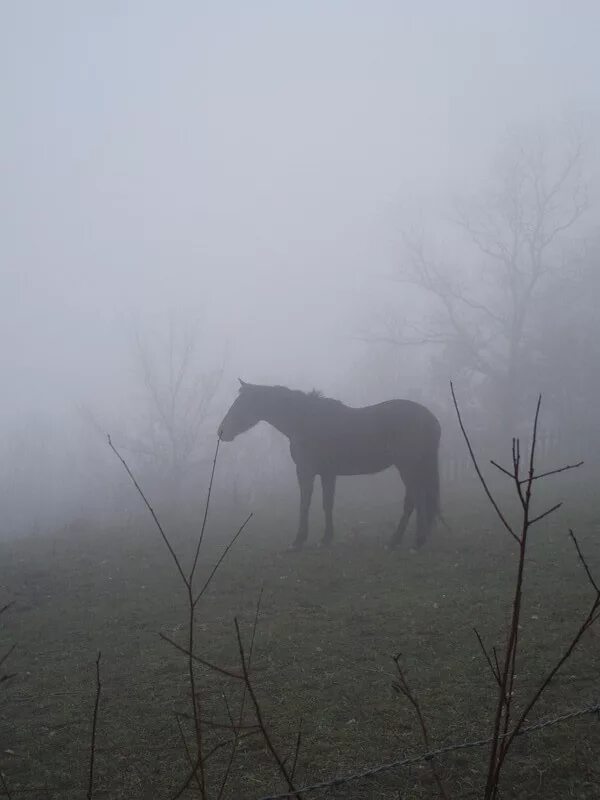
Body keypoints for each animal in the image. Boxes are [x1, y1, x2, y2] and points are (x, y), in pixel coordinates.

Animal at [218, 382, 442, 552]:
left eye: (240, 403)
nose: (221, 432)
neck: (304, 420)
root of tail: (431, 419)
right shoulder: (327, 474)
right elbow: (327, 504)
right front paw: (326, 538)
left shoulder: (306, 471)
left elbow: (305, 504)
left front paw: (298, 541)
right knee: (413, 501)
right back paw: (396, 540)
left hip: (408, 468)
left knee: (417, 500)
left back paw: (416, 542)